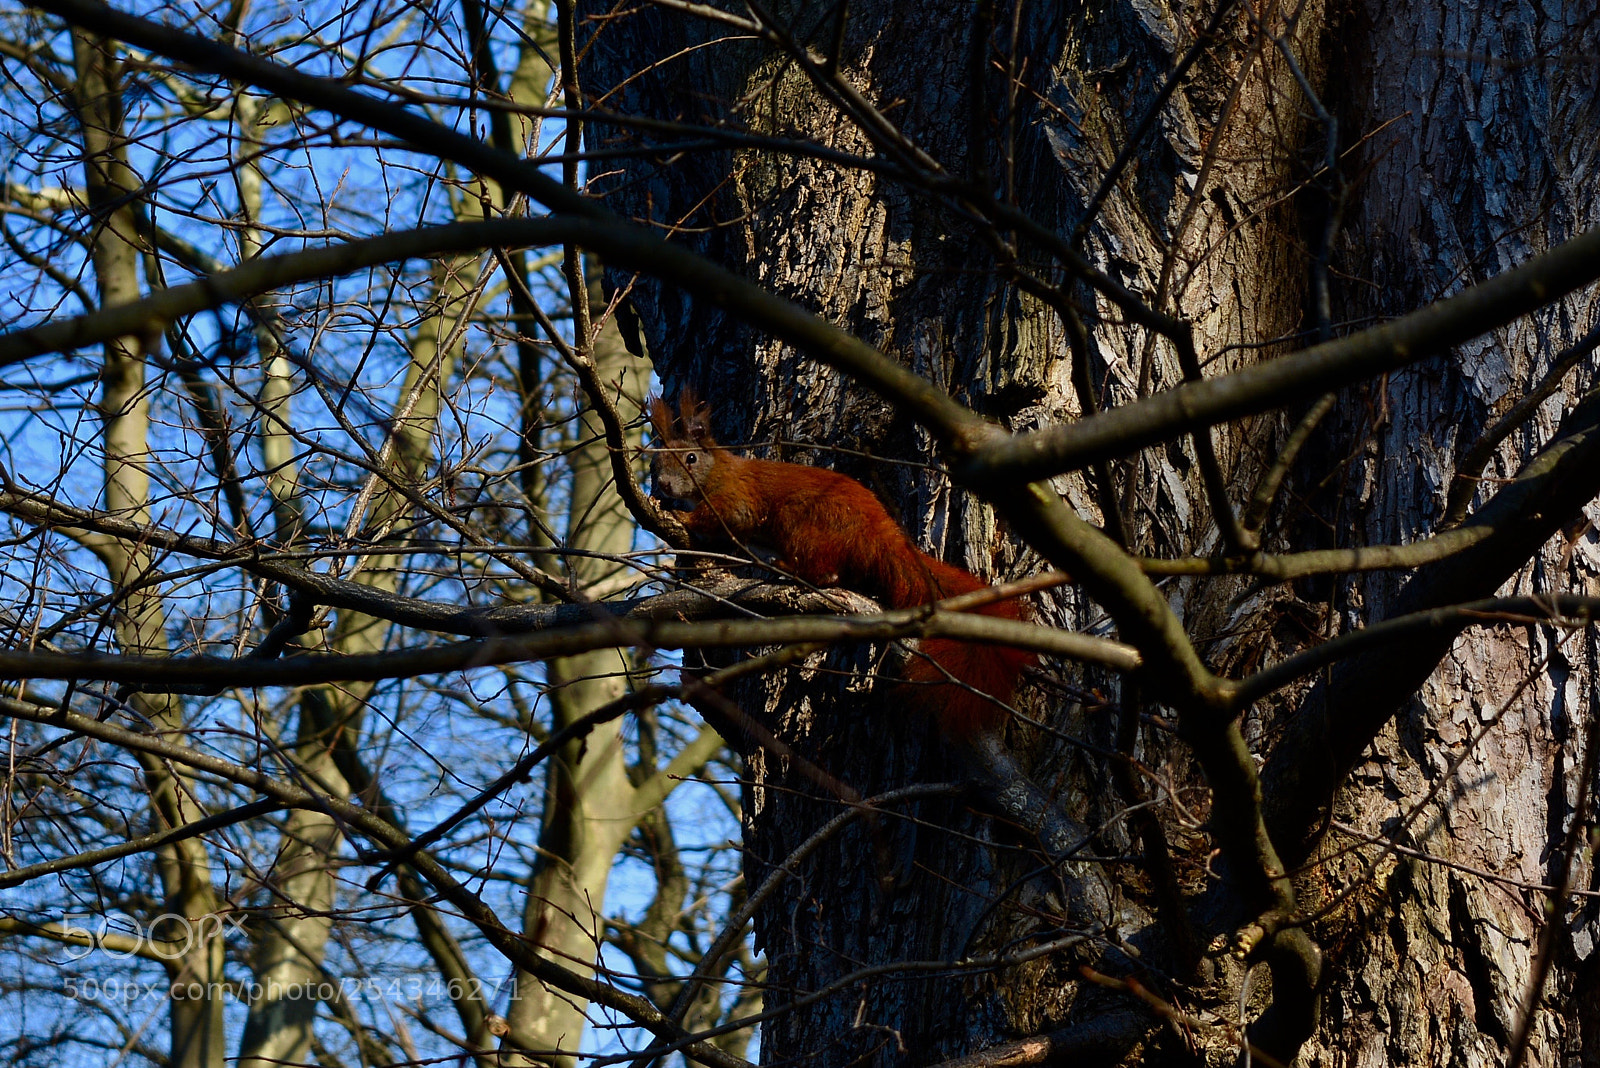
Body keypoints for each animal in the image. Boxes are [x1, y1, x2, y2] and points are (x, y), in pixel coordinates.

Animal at [648, 390, 1035, 740]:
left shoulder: (736, 497)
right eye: (655, 463)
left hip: (802, 525)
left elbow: (726, 516)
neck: (718, 471)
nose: (663, 484)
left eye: (691, 458)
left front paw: (682, 516)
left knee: (824, 570)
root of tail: (878, 533)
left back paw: (790, 570)